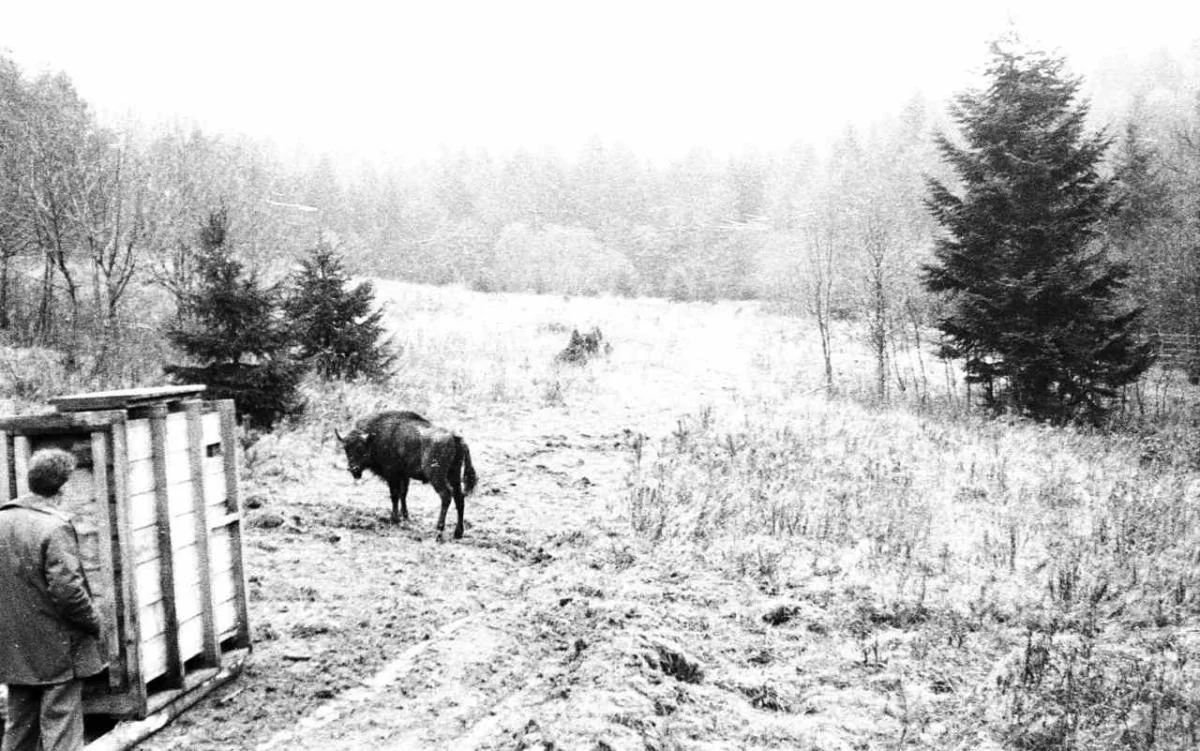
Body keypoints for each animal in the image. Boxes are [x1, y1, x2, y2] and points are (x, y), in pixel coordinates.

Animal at [333, 410, 477, 537]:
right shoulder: (404, 475)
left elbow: (394, 495)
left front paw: (394, 519)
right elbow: (403, 494)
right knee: (459, 498)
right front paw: (405, 516)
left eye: (360, 448)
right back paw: (458, 533)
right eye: (346, 448)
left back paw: (439, 530)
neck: (374, 438)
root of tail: (454, 437)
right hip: (454, 475)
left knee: (446, 496)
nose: (353, 469)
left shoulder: (392, 476)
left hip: (437, 477)